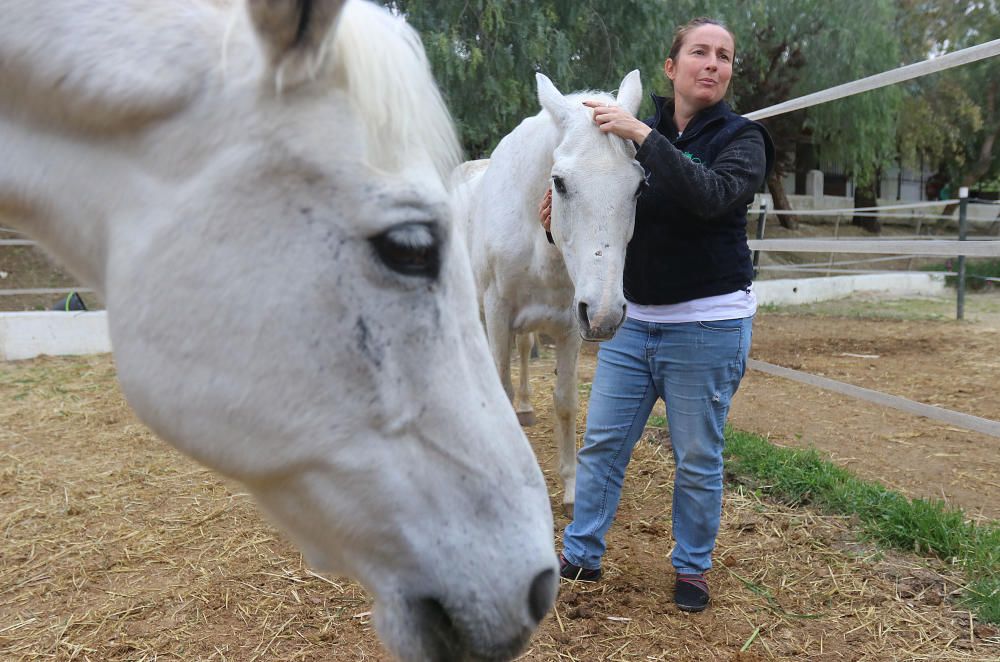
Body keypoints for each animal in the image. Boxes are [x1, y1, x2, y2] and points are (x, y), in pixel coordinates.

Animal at [452, 72, 640, 520]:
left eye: (639, 187)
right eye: (560, 182)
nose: (607, 314)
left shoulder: (572, 323)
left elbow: (565, 402)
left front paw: (572, 490)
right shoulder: (497, 313)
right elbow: (499, 389)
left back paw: (525, 408)